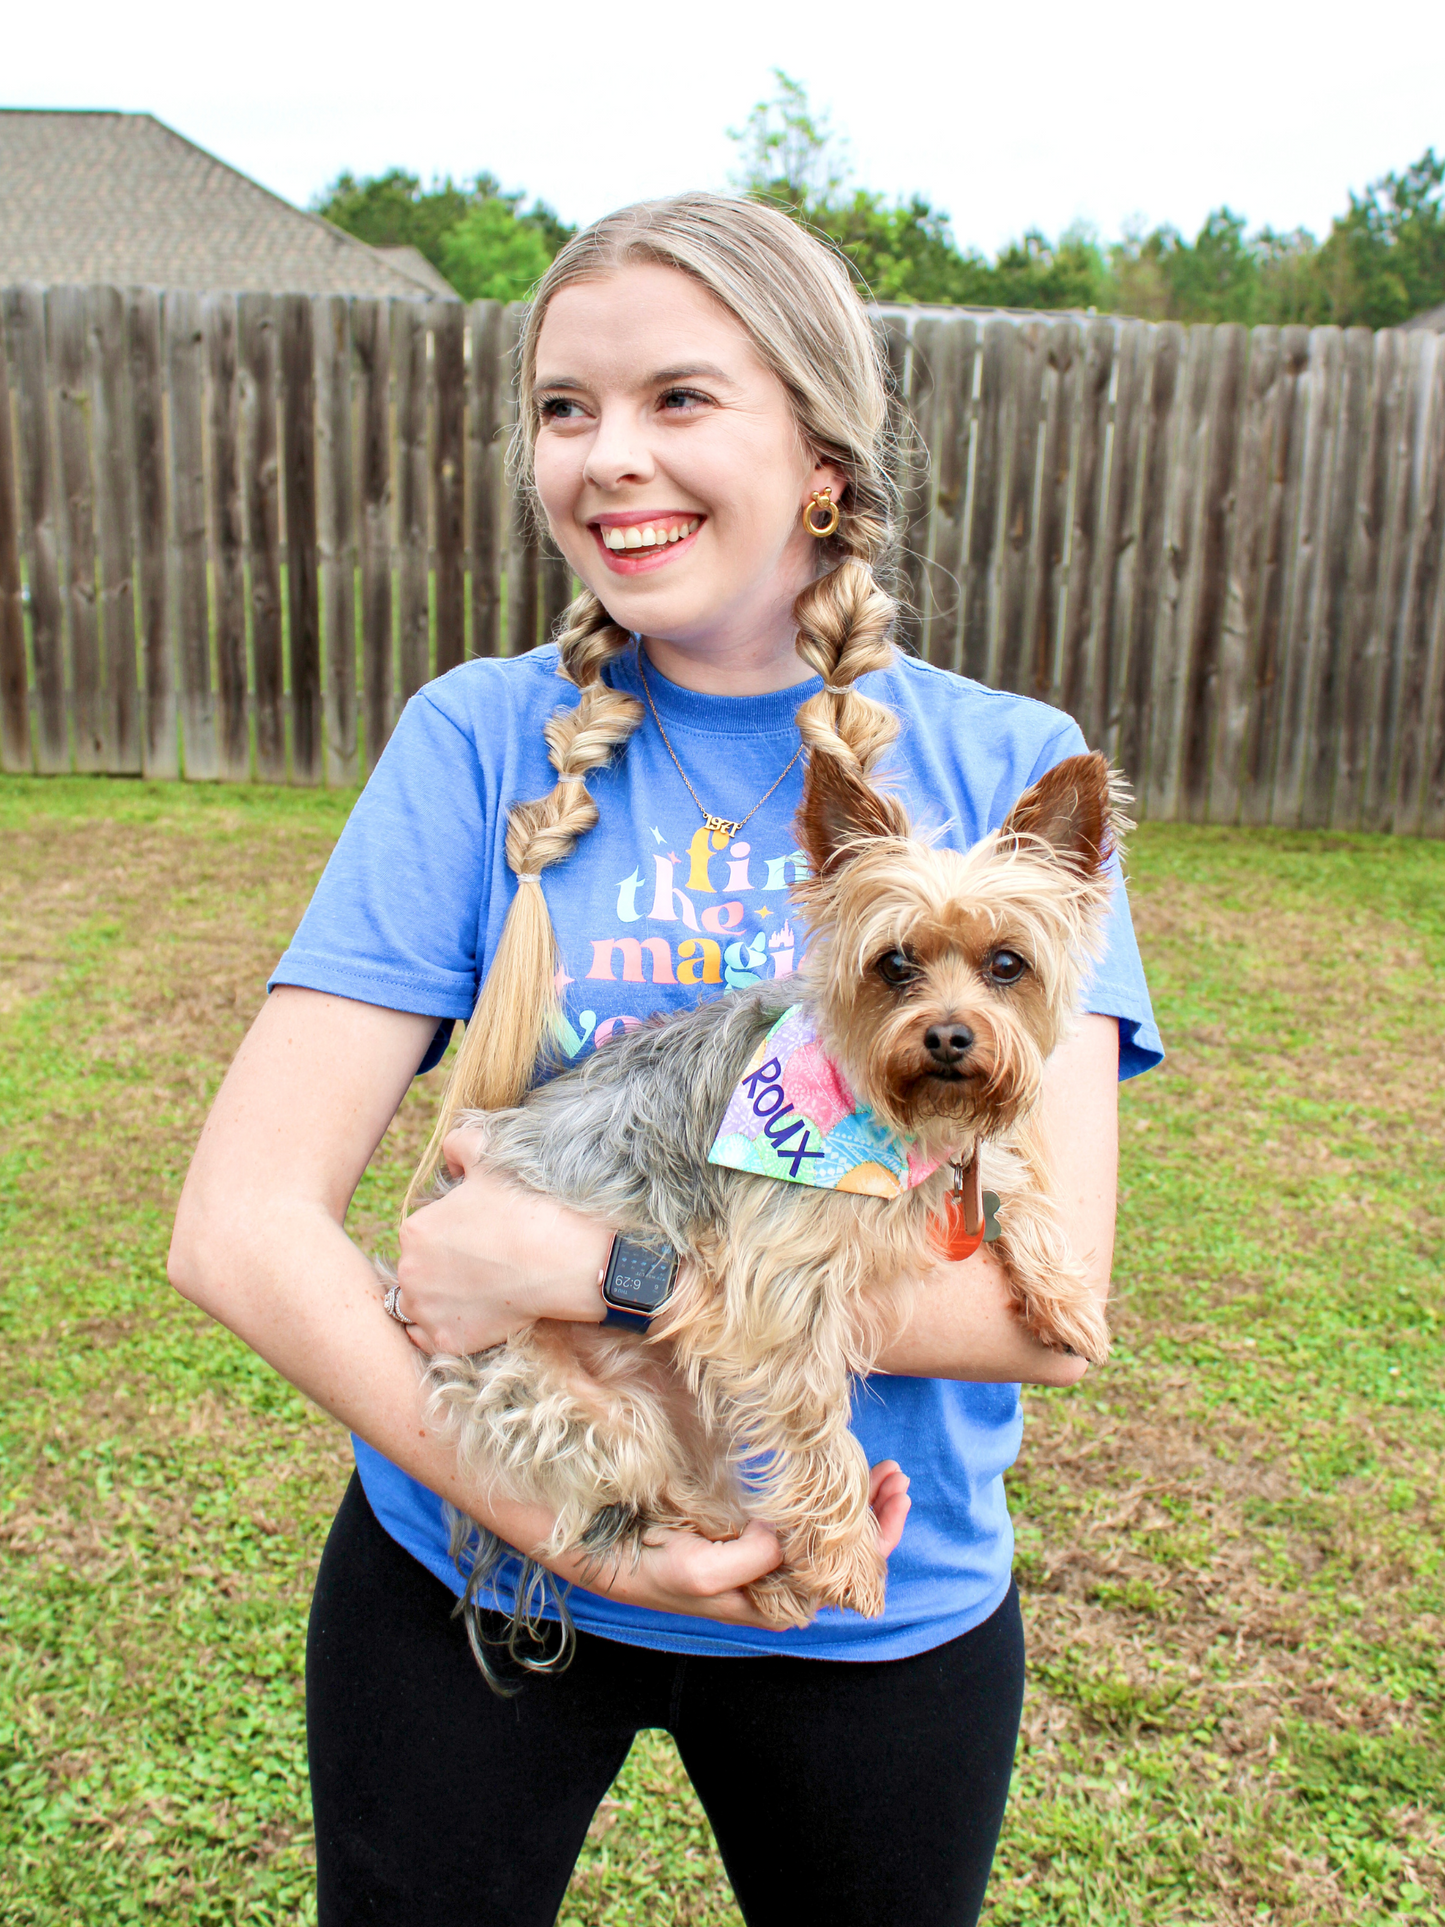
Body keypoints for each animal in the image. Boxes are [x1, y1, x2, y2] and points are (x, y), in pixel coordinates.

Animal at [423, 747, 1125, 1657]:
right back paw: (768, 1570)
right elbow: (817, 1427)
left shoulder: (963, 1150)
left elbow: (1015, 1186)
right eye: (893, 963)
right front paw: (848, 1557)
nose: (946, 1036)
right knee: (655, 1502)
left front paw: (1066, 1298)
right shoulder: (775, 1295)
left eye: (1008, 963)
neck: (892, 1125)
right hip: (587, 1416)